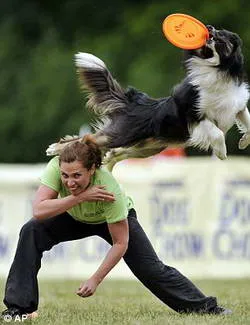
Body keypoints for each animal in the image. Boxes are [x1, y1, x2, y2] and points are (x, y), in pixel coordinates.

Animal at [46, 25, 250, 171]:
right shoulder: (194, 115)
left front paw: (244, 141)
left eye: (222, 35)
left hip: (146, 148)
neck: (218, 71)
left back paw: (107, 163)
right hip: (124, 135)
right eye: (215, 30)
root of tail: (134, 101)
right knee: (89, 138)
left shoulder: (238, 106)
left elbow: (247, 121)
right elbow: (217, 133)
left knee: (112, 151)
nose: (208, 27)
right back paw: (54, 148)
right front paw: (221, 153)